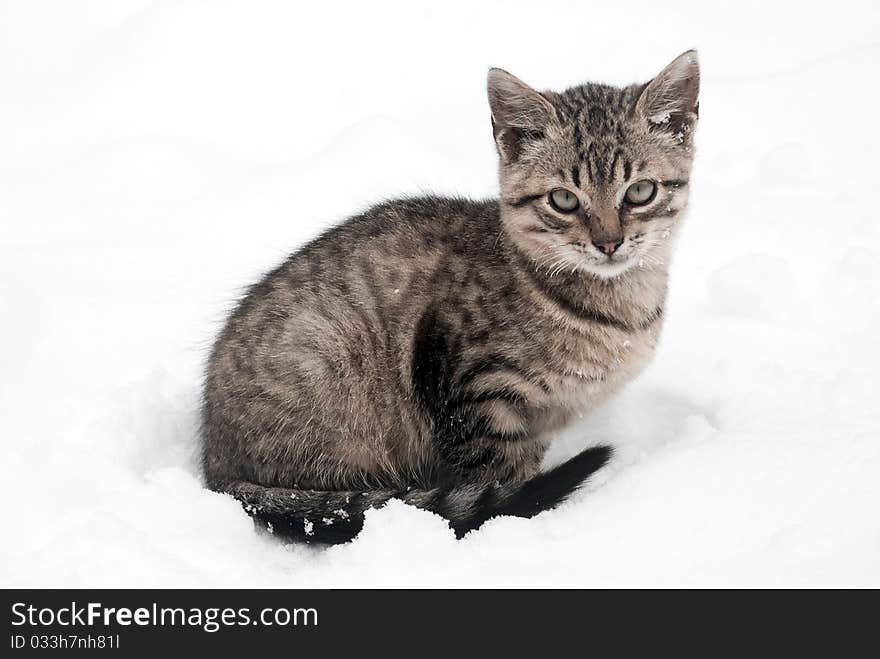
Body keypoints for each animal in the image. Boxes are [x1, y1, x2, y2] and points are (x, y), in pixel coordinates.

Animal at [201, 51, 700, 544]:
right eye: (563, 199)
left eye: (640, 191)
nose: (609, 243)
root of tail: (215, 467)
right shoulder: (472, 391)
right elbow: (497, 476)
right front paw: (510, 521)